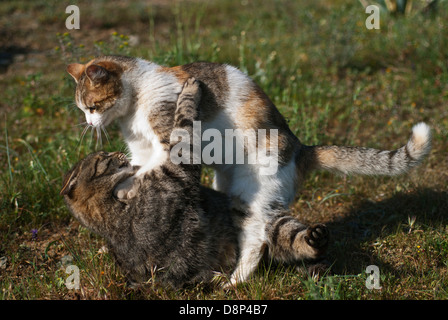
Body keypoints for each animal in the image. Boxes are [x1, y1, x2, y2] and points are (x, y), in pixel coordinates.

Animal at [61, 78, 328, 288]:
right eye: (103, 158)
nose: (117, 153)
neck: (108, 213)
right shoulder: (177, 170)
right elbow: (183, 126)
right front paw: (189, 91)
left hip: (263, 214)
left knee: (292, 238)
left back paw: (315, 239)